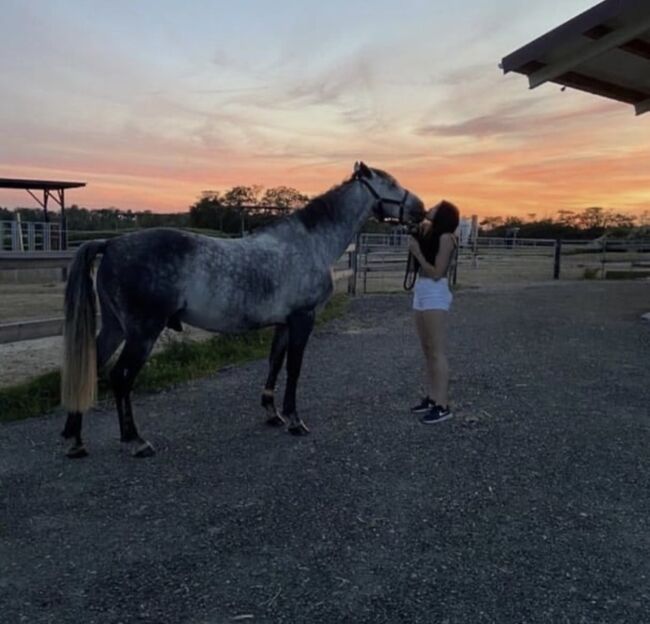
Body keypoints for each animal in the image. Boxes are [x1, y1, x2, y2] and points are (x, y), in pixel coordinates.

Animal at [60, 162, 425, 459]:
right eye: (391, 184)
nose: (421, 209)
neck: (310, 243)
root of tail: (111, 243)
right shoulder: (303, 319)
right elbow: (294, 368)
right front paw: (295, 421)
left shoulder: (284, 323)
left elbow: (275, 363)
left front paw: (272, 413)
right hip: (142, 332)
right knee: (120, 377)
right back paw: (135, 441)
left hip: (115, 327)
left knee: (93, 365)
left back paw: (75, 441)